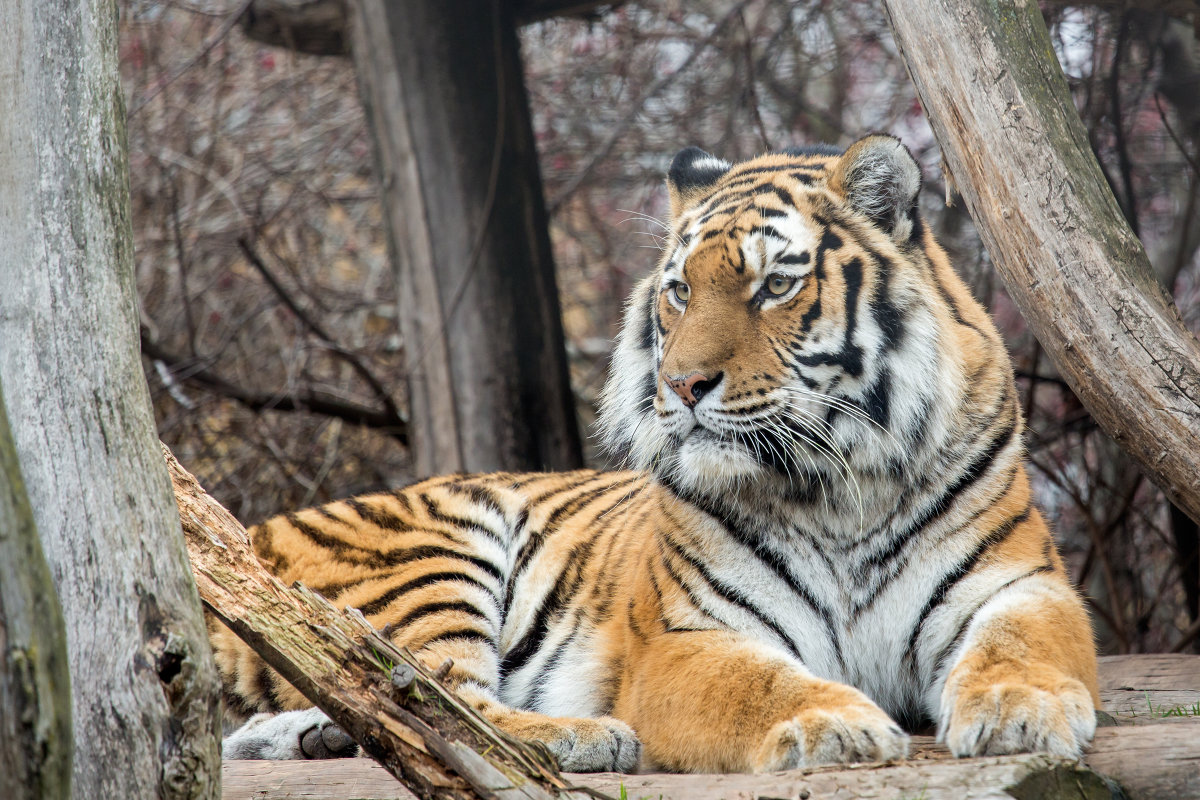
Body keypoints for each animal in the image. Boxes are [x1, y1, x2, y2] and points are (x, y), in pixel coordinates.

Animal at [213, 134, 1099, 772]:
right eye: (680, 291)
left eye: (775, 286)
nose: (682, 385)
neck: (834, 483)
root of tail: (243, 532)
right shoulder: (689, 637)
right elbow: (760, 684)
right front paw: (831, 724)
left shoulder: (1019, 585)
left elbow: (1020, 647)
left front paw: (1021, 712)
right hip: (431, 554)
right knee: (432, 700)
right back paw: (580, 736)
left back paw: (314, 735)